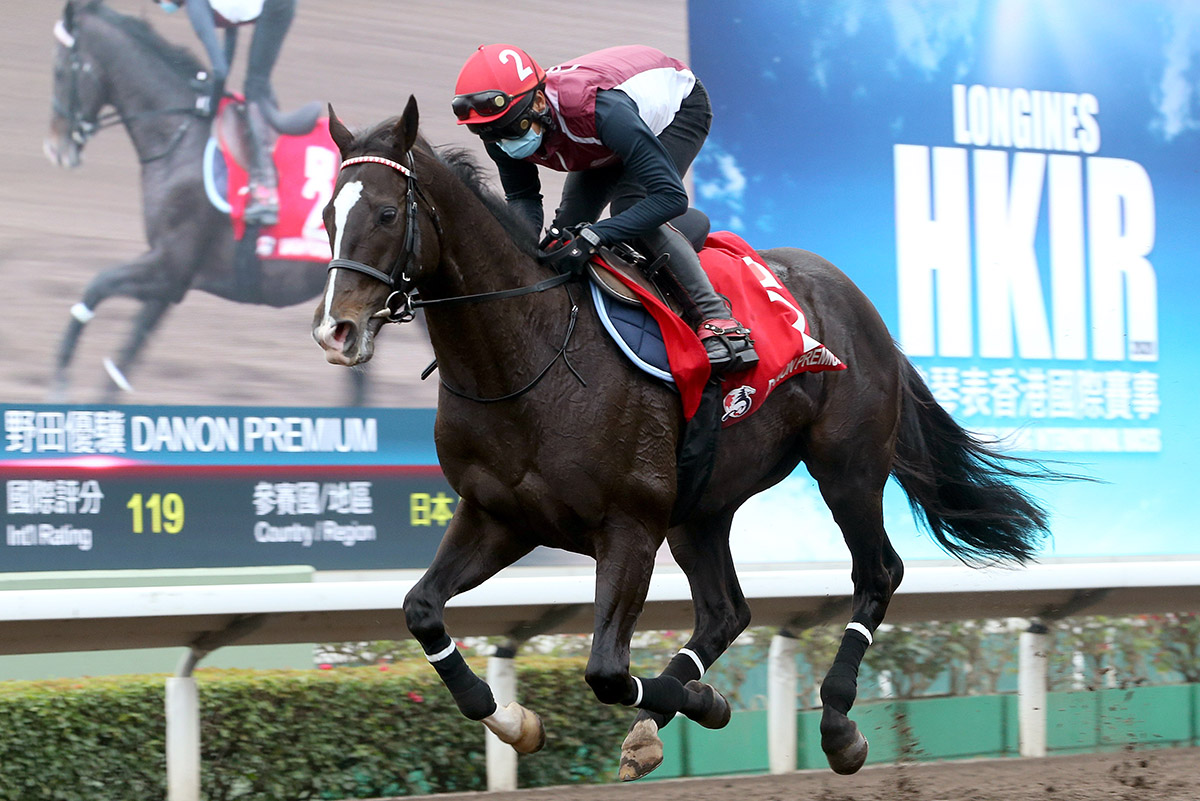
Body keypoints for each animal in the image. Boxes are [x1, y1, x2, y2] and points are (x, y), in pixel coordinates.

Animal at [44, 0, 368, 405]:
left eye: (59, 70)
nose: (56, 148)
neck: (178, 137)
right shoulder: (172, 279)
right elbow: (129, 350)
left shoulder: (170, 265)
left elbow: (96, 287)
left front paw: (60, 380)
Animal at [311, 96, 1067, 780]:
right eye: (325, 216)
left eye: (386, 213)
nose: (335, 331)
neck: (528, 354)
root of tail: (855, 299)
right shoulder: (500, 516)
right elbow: (422, 611)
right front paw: (516, 720)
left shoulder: (629, 523)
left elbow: (606, 670)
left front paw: (704, 702)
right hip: (703, 505)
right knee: (727, 610)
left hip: (845, 467)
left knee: (877, 572)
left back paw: (836, 722)